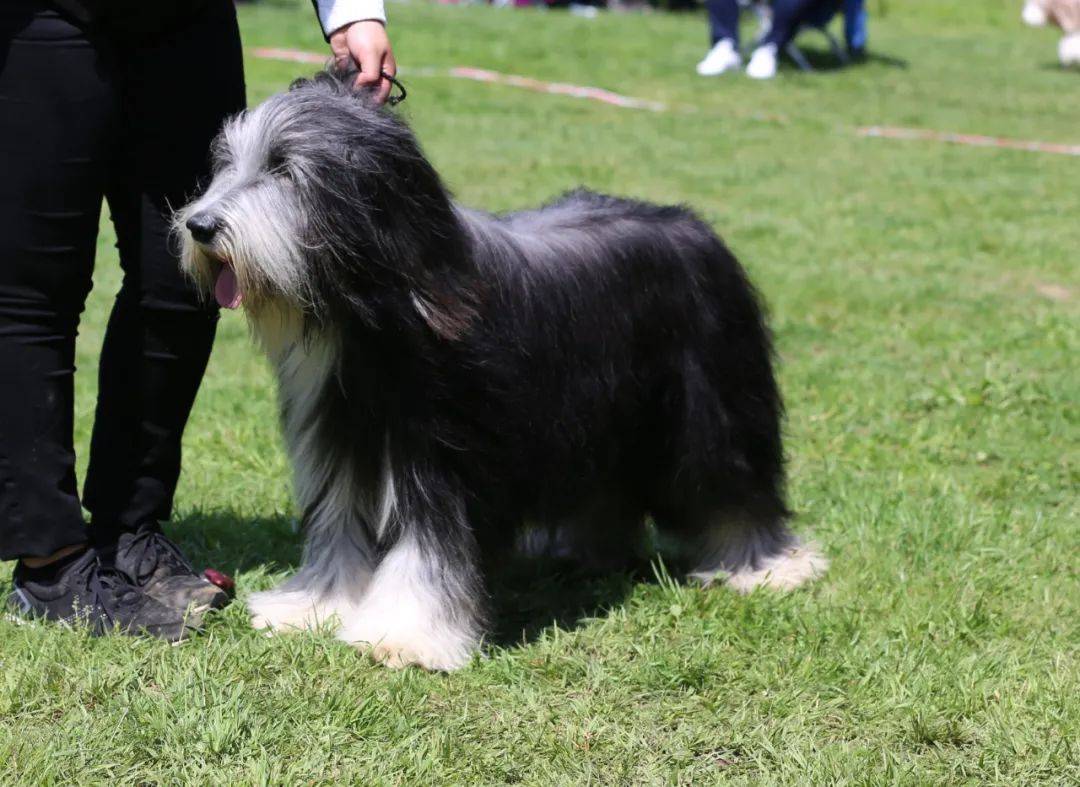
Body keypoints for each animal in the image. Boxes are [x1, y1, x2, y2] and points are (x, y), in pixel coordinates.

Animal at [174, 69, 825, 669]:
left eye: (284, 168)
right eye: (229, 164)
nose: (198, 226)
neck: (378, 315)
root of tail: (691, 224)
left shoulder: (444, 454)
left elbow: (430, 548)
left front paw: (404, 636)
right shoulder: (343, 439)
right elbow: (340, 528)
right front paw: (314, 607)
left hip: (709, 403)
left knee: (732, 483)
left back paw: (765, 566)